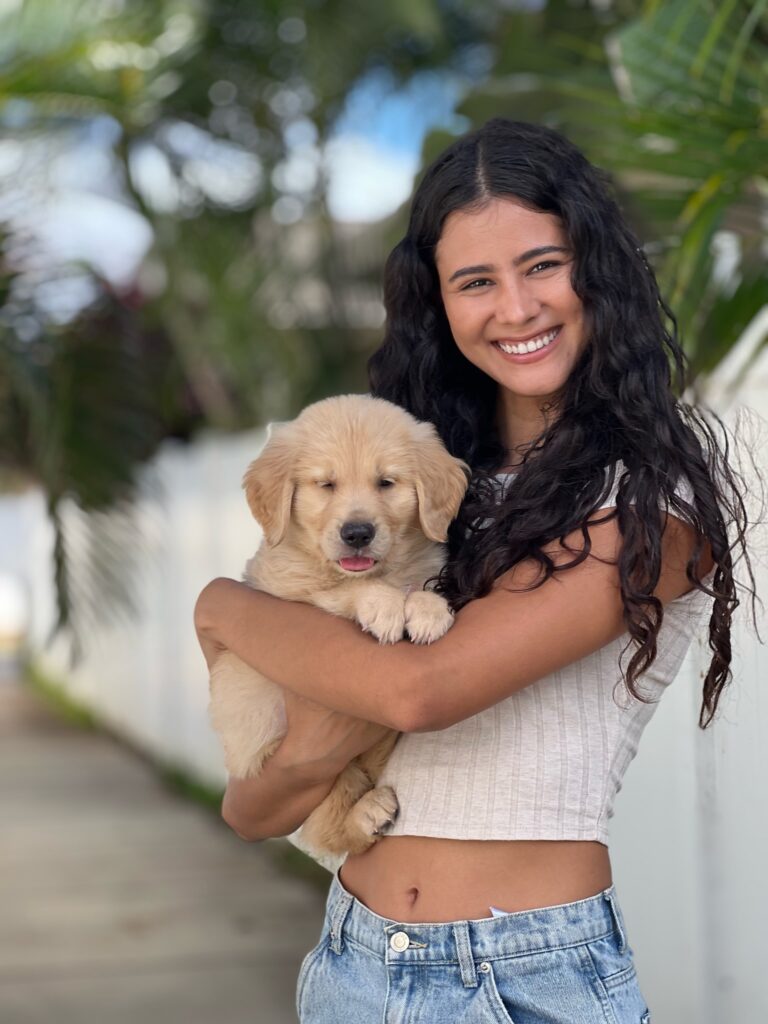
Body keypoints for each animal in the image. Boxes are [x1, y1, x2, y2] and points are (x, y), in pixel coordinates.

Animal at [207, 391, 468, 856]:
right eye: (325, 484)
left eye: (386, 482)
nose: (357, 533)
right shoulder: (286, 589)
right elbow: (341, 591)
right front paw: (384, 604)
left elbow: (420, 586)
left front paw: (429, 609)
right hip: (279, 754)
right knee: (327, 822)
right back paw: (367, 813)